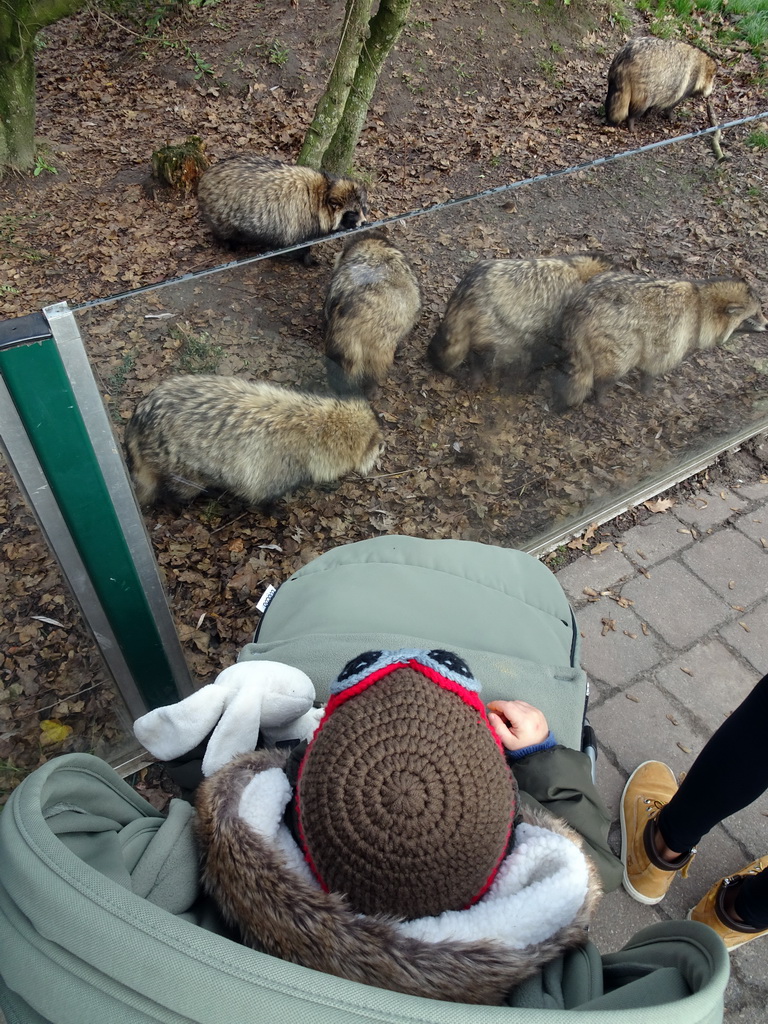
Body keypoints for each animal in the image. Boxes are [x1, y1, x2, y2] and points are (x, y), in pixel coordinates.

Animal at [123, 374, 385, 505]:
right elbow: (262, 497)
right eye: (374, 443)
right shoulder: (273, 472)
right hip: (181, 470)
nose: (384, 443)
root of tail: (138, 419)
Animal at [196, 155, 368, 262]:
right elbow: (298, 246)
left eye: (364, 209)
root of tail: (206, 175)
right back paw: (228, 243)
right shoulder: (300, 221)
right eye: (352, 213)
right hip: (220, 211)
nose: (365, 223)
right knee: (224, 232)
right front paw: (306, 259)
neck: (323, 191)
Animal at [557, 276, 765, 411]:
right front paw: (647, 390)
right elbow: (655, 365)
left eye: (760, 312)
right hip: (619, 336)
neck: (703, 301)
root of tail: (581, 309)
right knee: (618, 363)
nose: (767, 323)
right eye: (755, 316)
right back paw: (601, 393)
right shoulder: (677, 334)